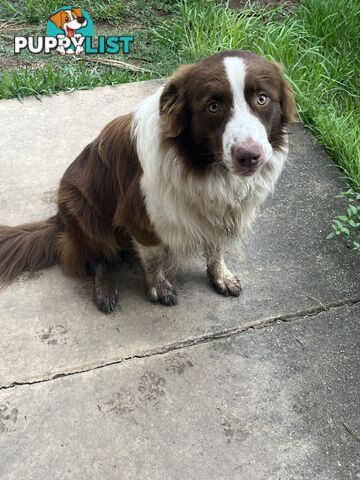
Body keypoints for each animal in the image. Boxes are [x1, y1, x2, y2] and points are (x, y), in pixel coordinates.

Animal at [0, 50, 296, 314]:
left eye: (262, 99)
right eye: (213, 106)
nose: (250, 156)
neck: (204, 168)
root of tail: (60, 220)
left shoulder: (218, 213)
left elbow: (215, 247)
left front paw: (220, 275)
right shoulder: (141, 218)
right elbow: (153, 259)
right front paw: (158, 288)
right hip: (82, 208)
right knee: (96, 258)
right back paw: (104, 289)